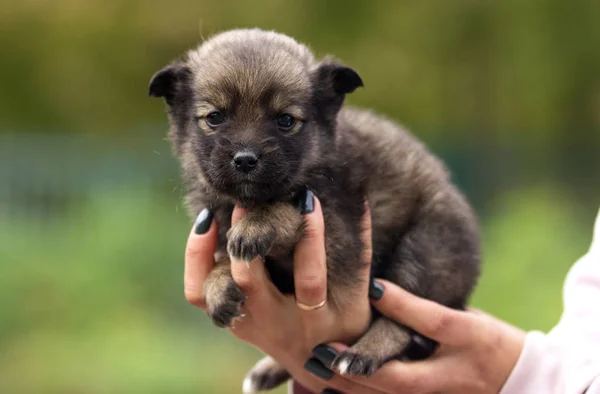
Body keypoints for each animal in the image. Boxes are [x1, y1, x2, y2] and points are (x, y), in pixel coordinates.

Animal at [148, 27, 480, 390]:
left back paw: (362, 353)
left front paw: (257, 225)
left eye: (285, 120)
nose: (246, 159)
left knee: (406, 321)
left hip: (426, 249)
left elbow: (290, 207)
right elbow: (223, 257)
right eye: (215, 118)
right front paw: (218, 283)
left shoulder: (338, 234)